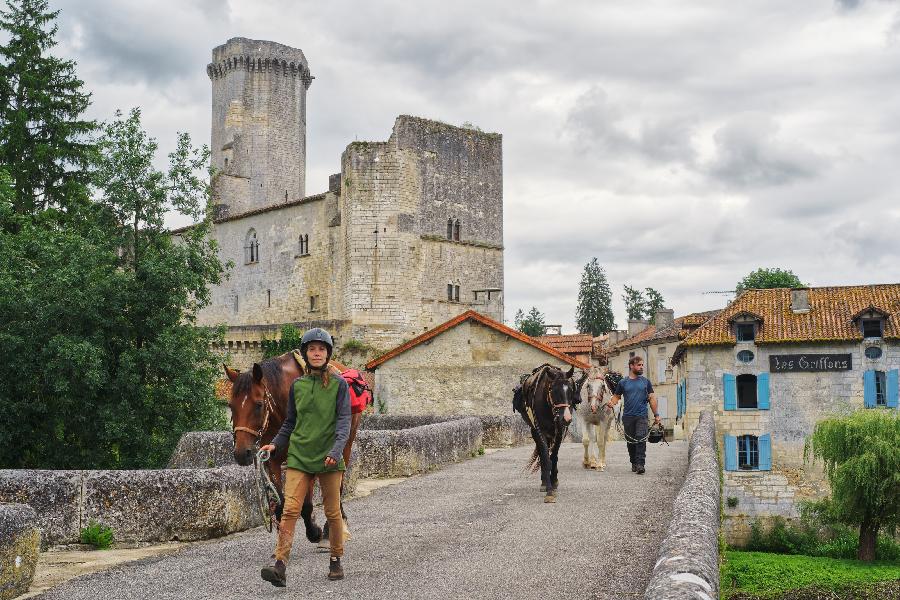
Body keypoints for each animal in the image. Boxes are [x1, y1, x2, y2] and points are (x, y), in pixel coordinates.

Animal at [223, 352, 322, 544]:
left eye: (259, 404)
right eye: (231, 405)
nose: (241, 453)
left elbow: (306, 501)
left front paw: (314, 531)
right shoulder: (272, 461)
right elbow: (280, 504)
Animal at [516, 366, 588, 502]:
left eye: (571, 390)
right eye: (553, 390)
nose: (566, 419)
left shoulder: (559, 431)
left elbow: (554, 457)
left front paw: (554, 482)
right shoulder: (540, 431)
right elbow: (545, 458)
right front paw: (549, 490)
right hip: (536, 432)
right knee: (541, 453)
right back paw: (544, 482)